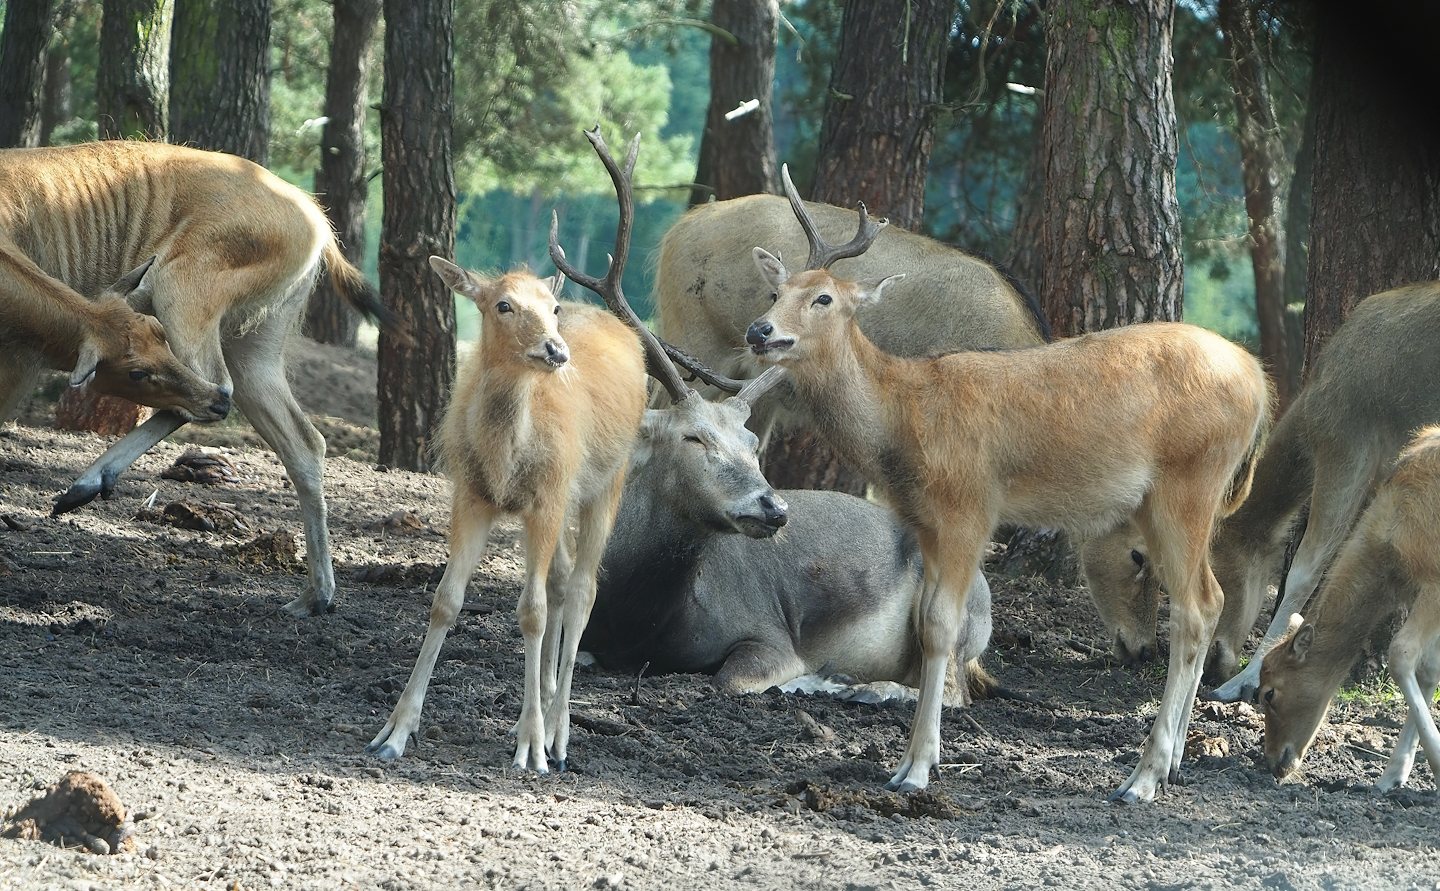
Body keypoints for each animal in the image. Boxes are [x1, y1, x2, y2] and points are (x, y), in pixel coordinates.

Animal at [741, 166, 1271, 802]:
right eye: (776, 292)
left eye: (822, 297)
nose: (759, 330)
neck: (904, 420)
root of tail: (1260, 382)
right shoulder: (925, 522)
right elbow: (923, 623)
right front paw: (906, 761)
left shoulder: (968, 506)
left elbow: (941, 627)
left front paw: (918, 768)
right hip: (1162, 498)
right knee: (1210, 601)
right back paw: (1170, 764)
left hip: (1189, 481)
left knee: (1196, 608)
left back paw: (1141, 778)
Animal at [1259, 425, 1440, 792]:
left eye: (1269, 693)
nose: (1272, 762)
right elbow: (1430, 668)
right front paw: (1391, 777)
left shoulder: (1434, 581)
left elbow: (1401, 653)